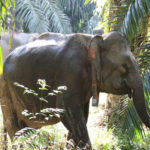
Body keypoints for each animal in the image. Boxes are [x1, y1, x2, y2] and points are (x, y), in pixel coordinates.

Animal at [1, 31, 150, 149]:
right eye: (124, 66)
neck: (94, 39)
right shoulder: (70, 73)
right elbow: (68, 112)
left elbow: (82, 115)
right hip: (5, 89)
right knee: (14, 128)